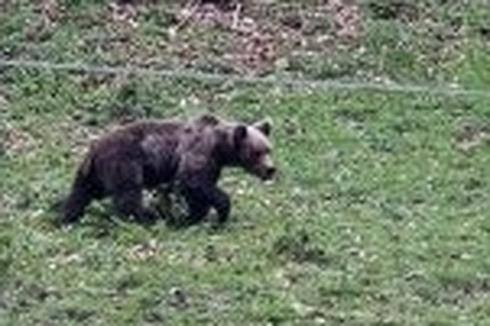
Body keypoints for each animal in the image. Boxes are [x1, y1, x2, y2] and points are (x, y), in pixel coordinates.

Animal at [61, 114, 276, 227]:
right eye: (257, 152)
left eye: (269, 149)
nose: (270, 169)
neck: (220, 147)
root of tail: (94, 148)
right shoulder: (199, 152)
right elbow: (193, 181)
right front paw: (220, 213)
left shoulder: (213, 164)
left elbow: (199, 189)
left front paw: (193, 216)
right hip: (124, 161)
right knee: (128, 193)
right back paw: (145, 217)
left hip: (94, 172)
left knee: (81, 192)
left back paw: (67, 216)